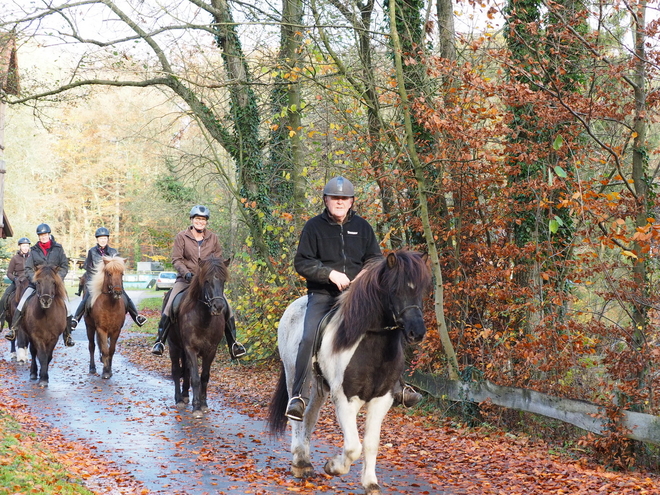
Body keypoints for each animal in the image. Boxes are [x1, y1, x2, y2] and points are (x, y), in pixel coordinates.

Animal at [169, 260, 231, 418]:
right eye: (207, 281)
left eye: (223, 281)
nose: (218, 307)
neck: (203, 319)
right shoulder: (191, 349)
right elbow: (195, 378)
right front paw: (196, 407)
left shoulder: (211, 351)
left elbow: (204, 376)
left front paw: (203, 404)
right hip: (173, 346)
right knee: (176, 370)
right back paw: (179, 399)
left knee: (185, 370)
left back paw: (185, 395)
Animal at [268, 252, 434, 495]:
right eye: (395, 289)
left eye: (421, 289)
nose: (417, 332)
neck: (369, 344)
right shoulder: (345, 400)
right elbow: (354, 446)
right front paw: (333, 467)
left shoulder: (381, 400)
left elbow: (371, 443)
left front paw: (371, 483)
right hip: (294, 377)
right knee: (297, 416)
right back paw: (299, 464)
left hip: (320, 387)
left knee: (310, 416)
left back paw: (305, 462)